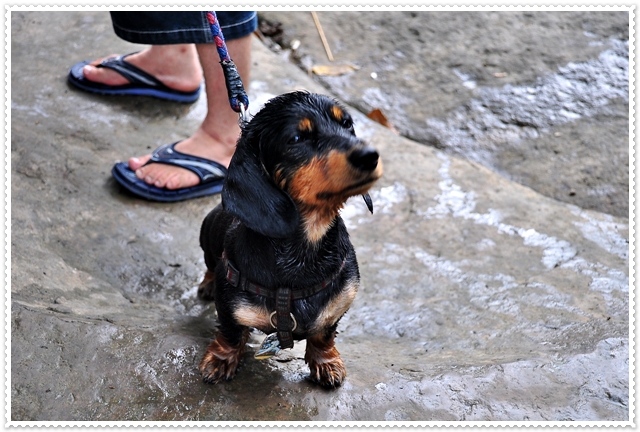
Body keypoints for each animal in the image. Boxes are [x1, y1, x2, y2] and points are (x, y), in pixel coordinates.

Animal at [198, 91, 382, 388]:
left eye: (347, 124)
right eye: (296, 138)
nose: (370, 156)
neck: (306, 244)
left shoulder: (338, 305)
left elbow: (324, 333)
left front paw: (326, 362)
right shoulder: (227, 305)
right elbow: (230, 332)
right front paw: (221, 360)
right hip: (207, 239)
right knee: (209, 266)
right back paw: (207, 283)